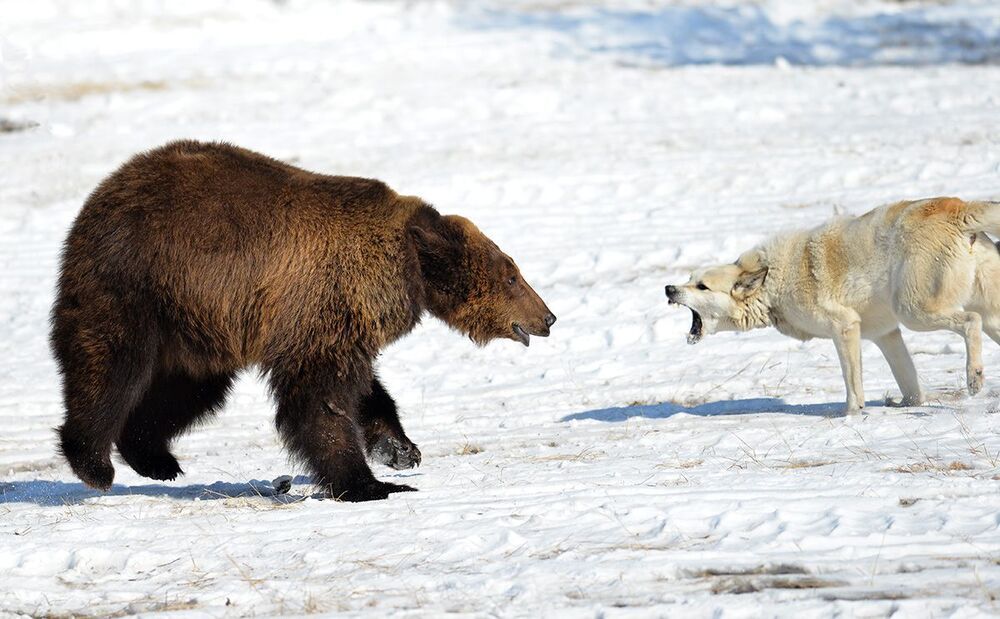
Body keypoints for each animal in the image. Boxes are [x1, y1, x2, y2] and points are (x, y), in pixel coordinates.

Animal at [51, 140, 556, 502]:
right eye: (512, 275)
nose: (548, 317)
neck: (406, 269)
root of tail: (104, 191)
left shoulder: (339, 324)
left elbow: (365, 391)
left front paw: (400, 451)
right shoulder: (322, 304)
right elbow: (320, 399)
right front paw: (370, 484)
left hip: (197, 322)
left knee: (187, 389)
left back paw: (155, 458)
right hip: (138, 282)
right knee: (113, 366)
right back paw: (93, 463)